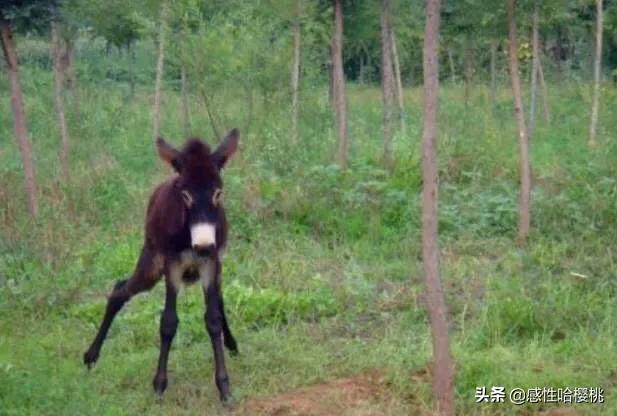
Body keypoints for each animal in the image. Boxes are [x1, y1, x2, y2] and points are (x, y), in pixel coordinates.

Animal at [83, 129, 241, 404]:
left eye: (218, 193)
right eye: (185, 194)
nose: (202, 245)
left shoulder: (210, 264)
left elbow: (213, 318)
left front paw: (224, 388)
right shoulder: (172, 266)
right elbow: (168, 322)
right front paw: (159, 384)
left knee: (219, 301)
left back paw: (231, 344)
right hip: (151, 265)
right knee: (119, 291)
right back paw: (91, 356)